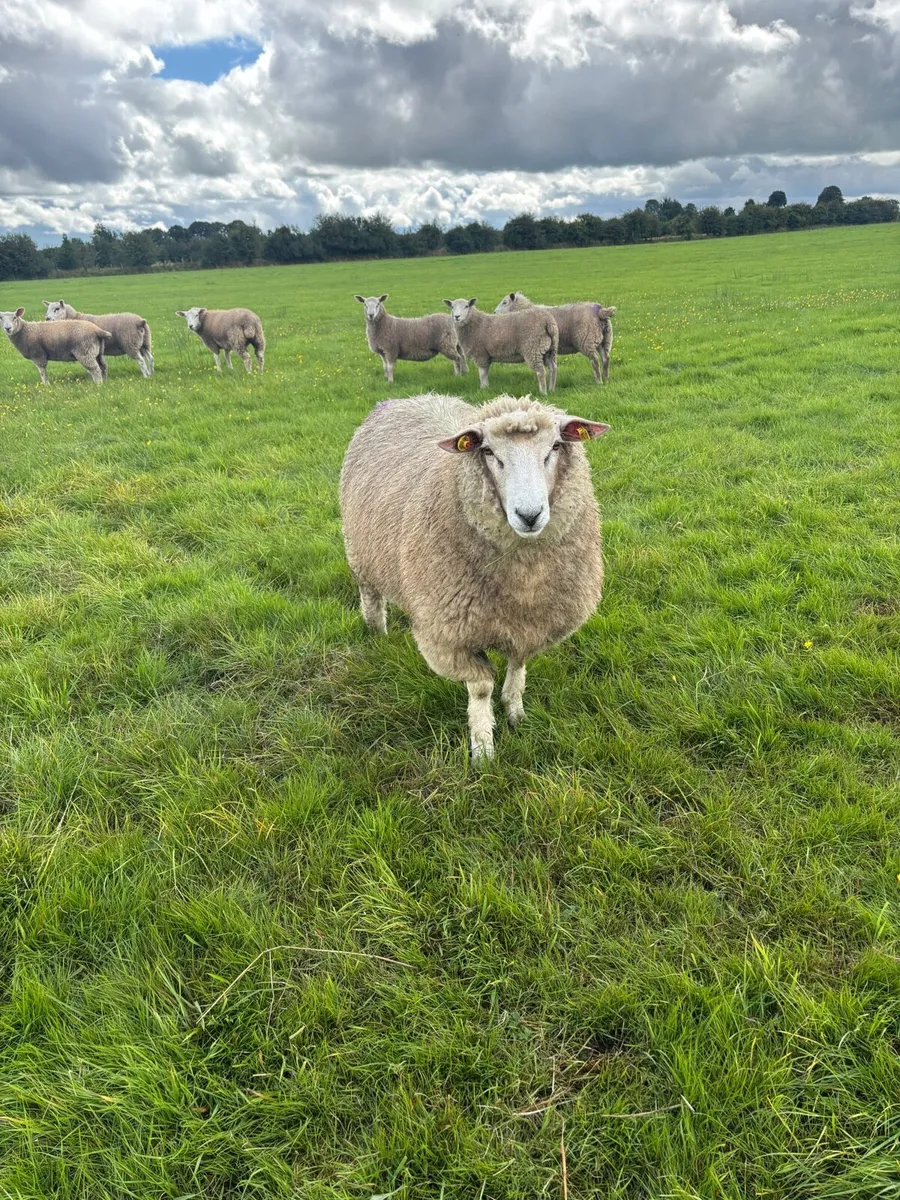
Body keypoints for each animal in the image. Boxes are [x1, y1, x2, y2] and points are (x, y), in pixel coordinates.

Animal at [340, 393, 609, 759]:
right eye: (489, 452)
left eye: (555, 446)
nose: (529, 515)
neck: (524, 581)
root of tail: (403, 399)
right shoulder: (449, 636)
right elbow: (481, 688)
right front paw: (483, 747)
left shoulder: (532, 624)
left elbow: (517, 666)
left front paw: (515, 713)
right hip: (362, 553)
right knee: (371, 596)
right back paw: (376, 633)